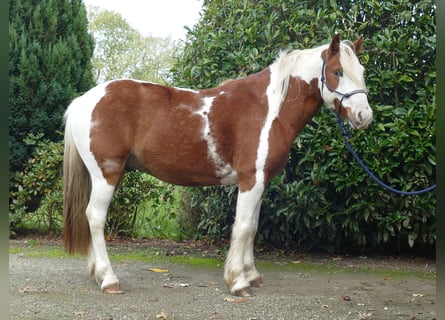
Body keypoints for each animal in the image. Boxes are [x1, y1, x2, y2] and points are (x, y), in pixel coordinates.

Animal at [60, 33, 370, 296]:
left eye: (362, 71)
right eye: (337, 72)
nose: (364, 116)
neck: (270, 109)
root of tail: (83, 101)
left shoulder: (261, 181)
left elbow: (252, 227)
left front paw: (251, 275)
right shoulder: (251, 179)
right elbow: (242, 227)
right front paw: (238, 282)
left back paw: (97, 273)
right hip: (106, 173)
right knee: (95, 217)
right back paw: (109, 279)